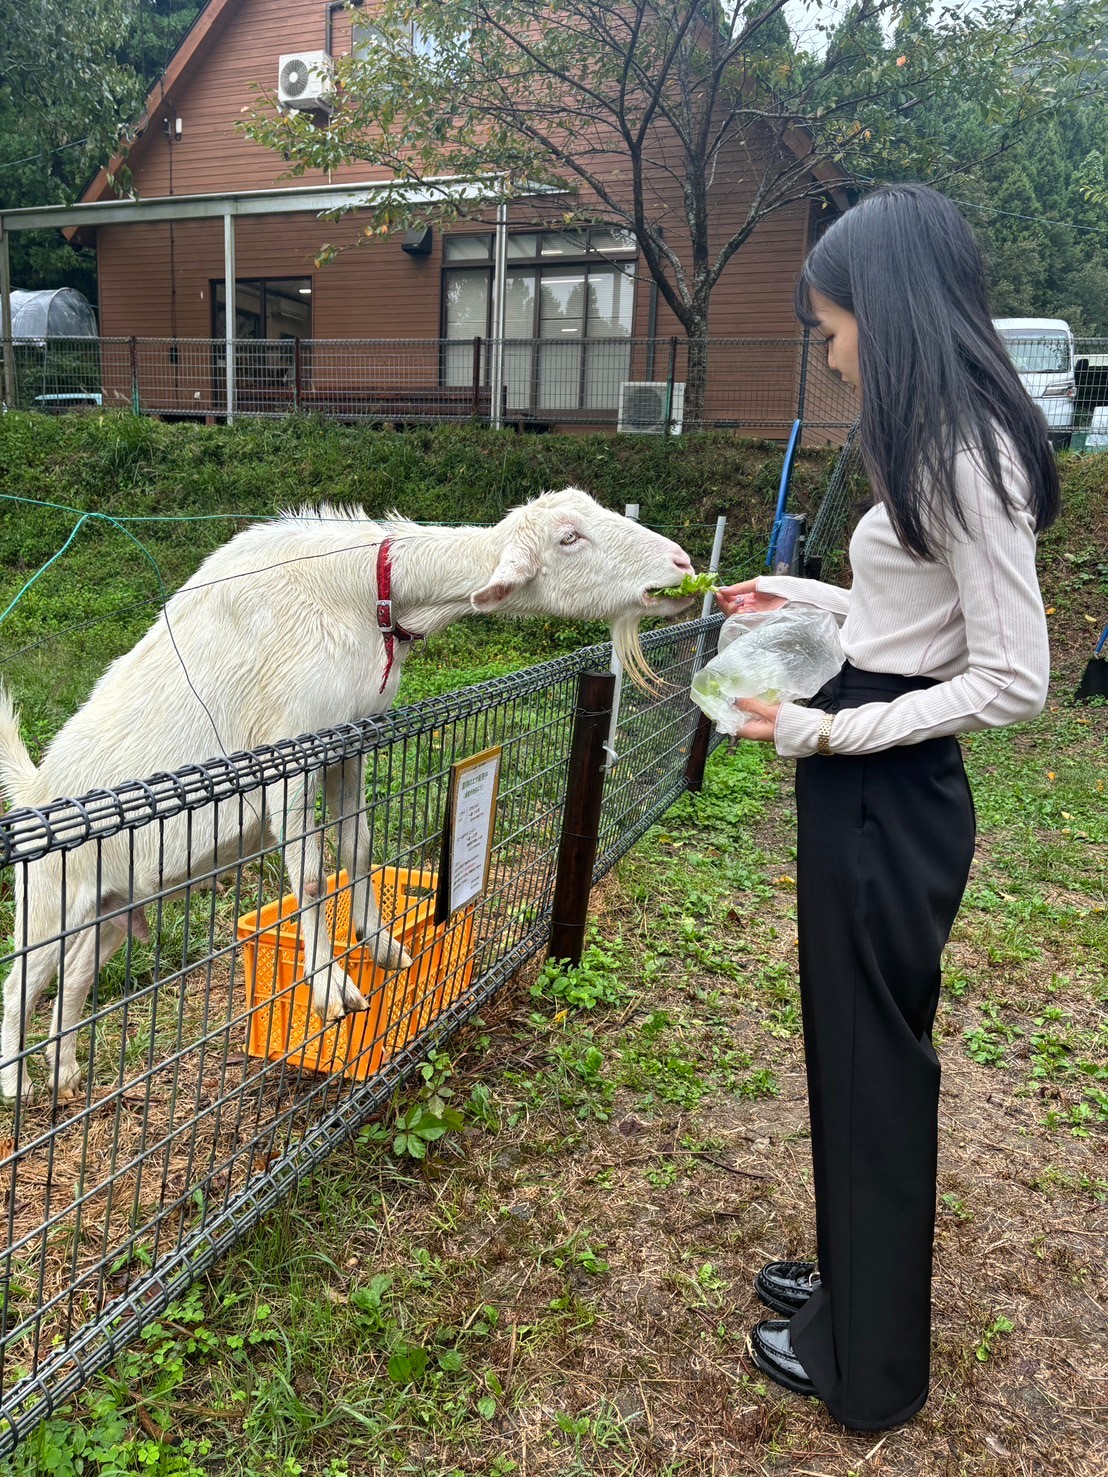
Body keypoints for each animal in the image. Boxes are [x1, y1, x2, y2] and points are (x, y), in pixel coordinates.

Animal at [0, 489, 693, 1101]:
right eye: (569, 537)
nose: (684, 566)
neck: (366, 592)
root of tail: (35, 791)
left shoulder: (349, 744)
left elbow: (357, 846)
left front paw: (380, 942)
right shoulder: (286, 752)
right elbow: (309, 873)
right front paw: (331, 987)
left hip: (116, 906)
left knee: (74, 982)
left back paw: (65, 1072)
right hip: (50, 901)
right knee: (19, 983)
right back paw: (17, 1083)